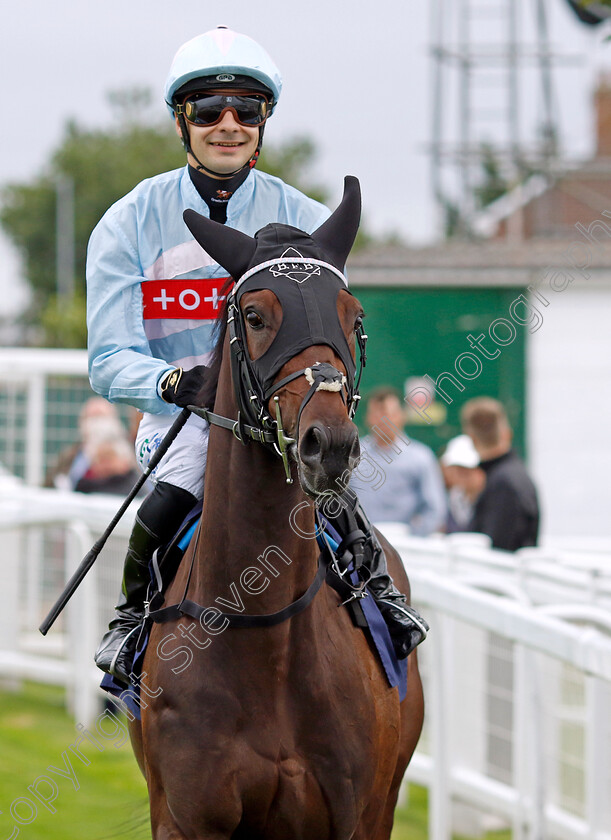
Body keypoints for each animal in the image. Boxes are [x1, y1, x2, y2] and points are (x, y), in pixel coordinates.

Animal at [129, 177, 426, 840]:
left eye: (354, 317)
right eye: (257, 316)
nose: (330, 444)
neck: (263, 632)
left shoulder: (349, 817)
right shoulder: (185, 819)